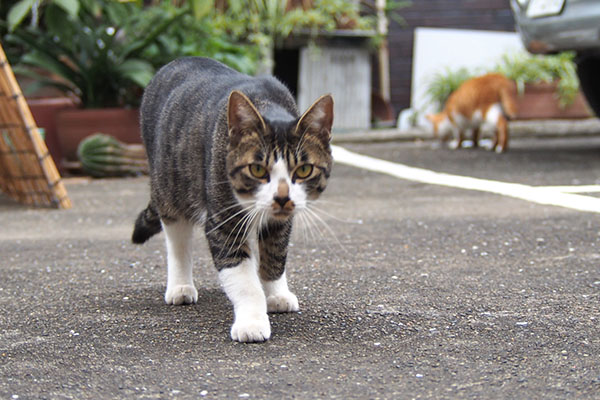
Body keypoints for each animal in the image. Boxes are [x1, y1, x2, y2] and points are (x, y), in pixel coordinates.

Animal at [131, 57, 332, 344]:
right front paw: (252, 321)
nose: (282, 197)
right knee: (177, 240)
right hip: (170, 186)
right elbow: (243, 278)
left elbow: (275, 256)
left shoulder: (280, 223)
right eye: (257, 169)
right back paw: (180, 285)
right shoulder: (223, 221)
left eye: (304, 170)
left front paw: (276, 294)